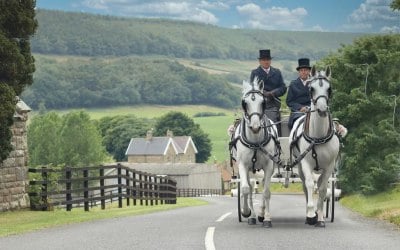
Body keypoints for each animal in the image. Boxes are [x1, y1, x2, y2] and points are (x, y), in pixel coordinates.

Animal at [233, 77, 280, 228]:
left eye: (262, 102)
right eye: (245, 103)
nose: (255, 127)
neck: (255, 140)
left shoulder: (269, 165)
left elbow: (266, 192)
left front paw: (267, 218)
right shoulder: (242, 165)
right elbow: (245, 189)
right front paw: (246, 212)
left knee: (263, 186)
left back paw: (260, 214)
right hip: (249, 170)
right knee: (250, 189)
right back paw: (252, 216)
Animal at [290, 65, 340, 228]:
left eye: (329, 88)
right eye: (311, 89)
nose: (322, 110)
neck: (318, 137)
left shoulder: (329, 165)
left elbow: (323, 189)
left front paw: (320, 217)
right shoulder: (306, 163)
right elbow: (310, 185)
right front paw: (311, 214)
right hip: (299, 166)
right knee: (306, 186)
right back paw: (308, 215)